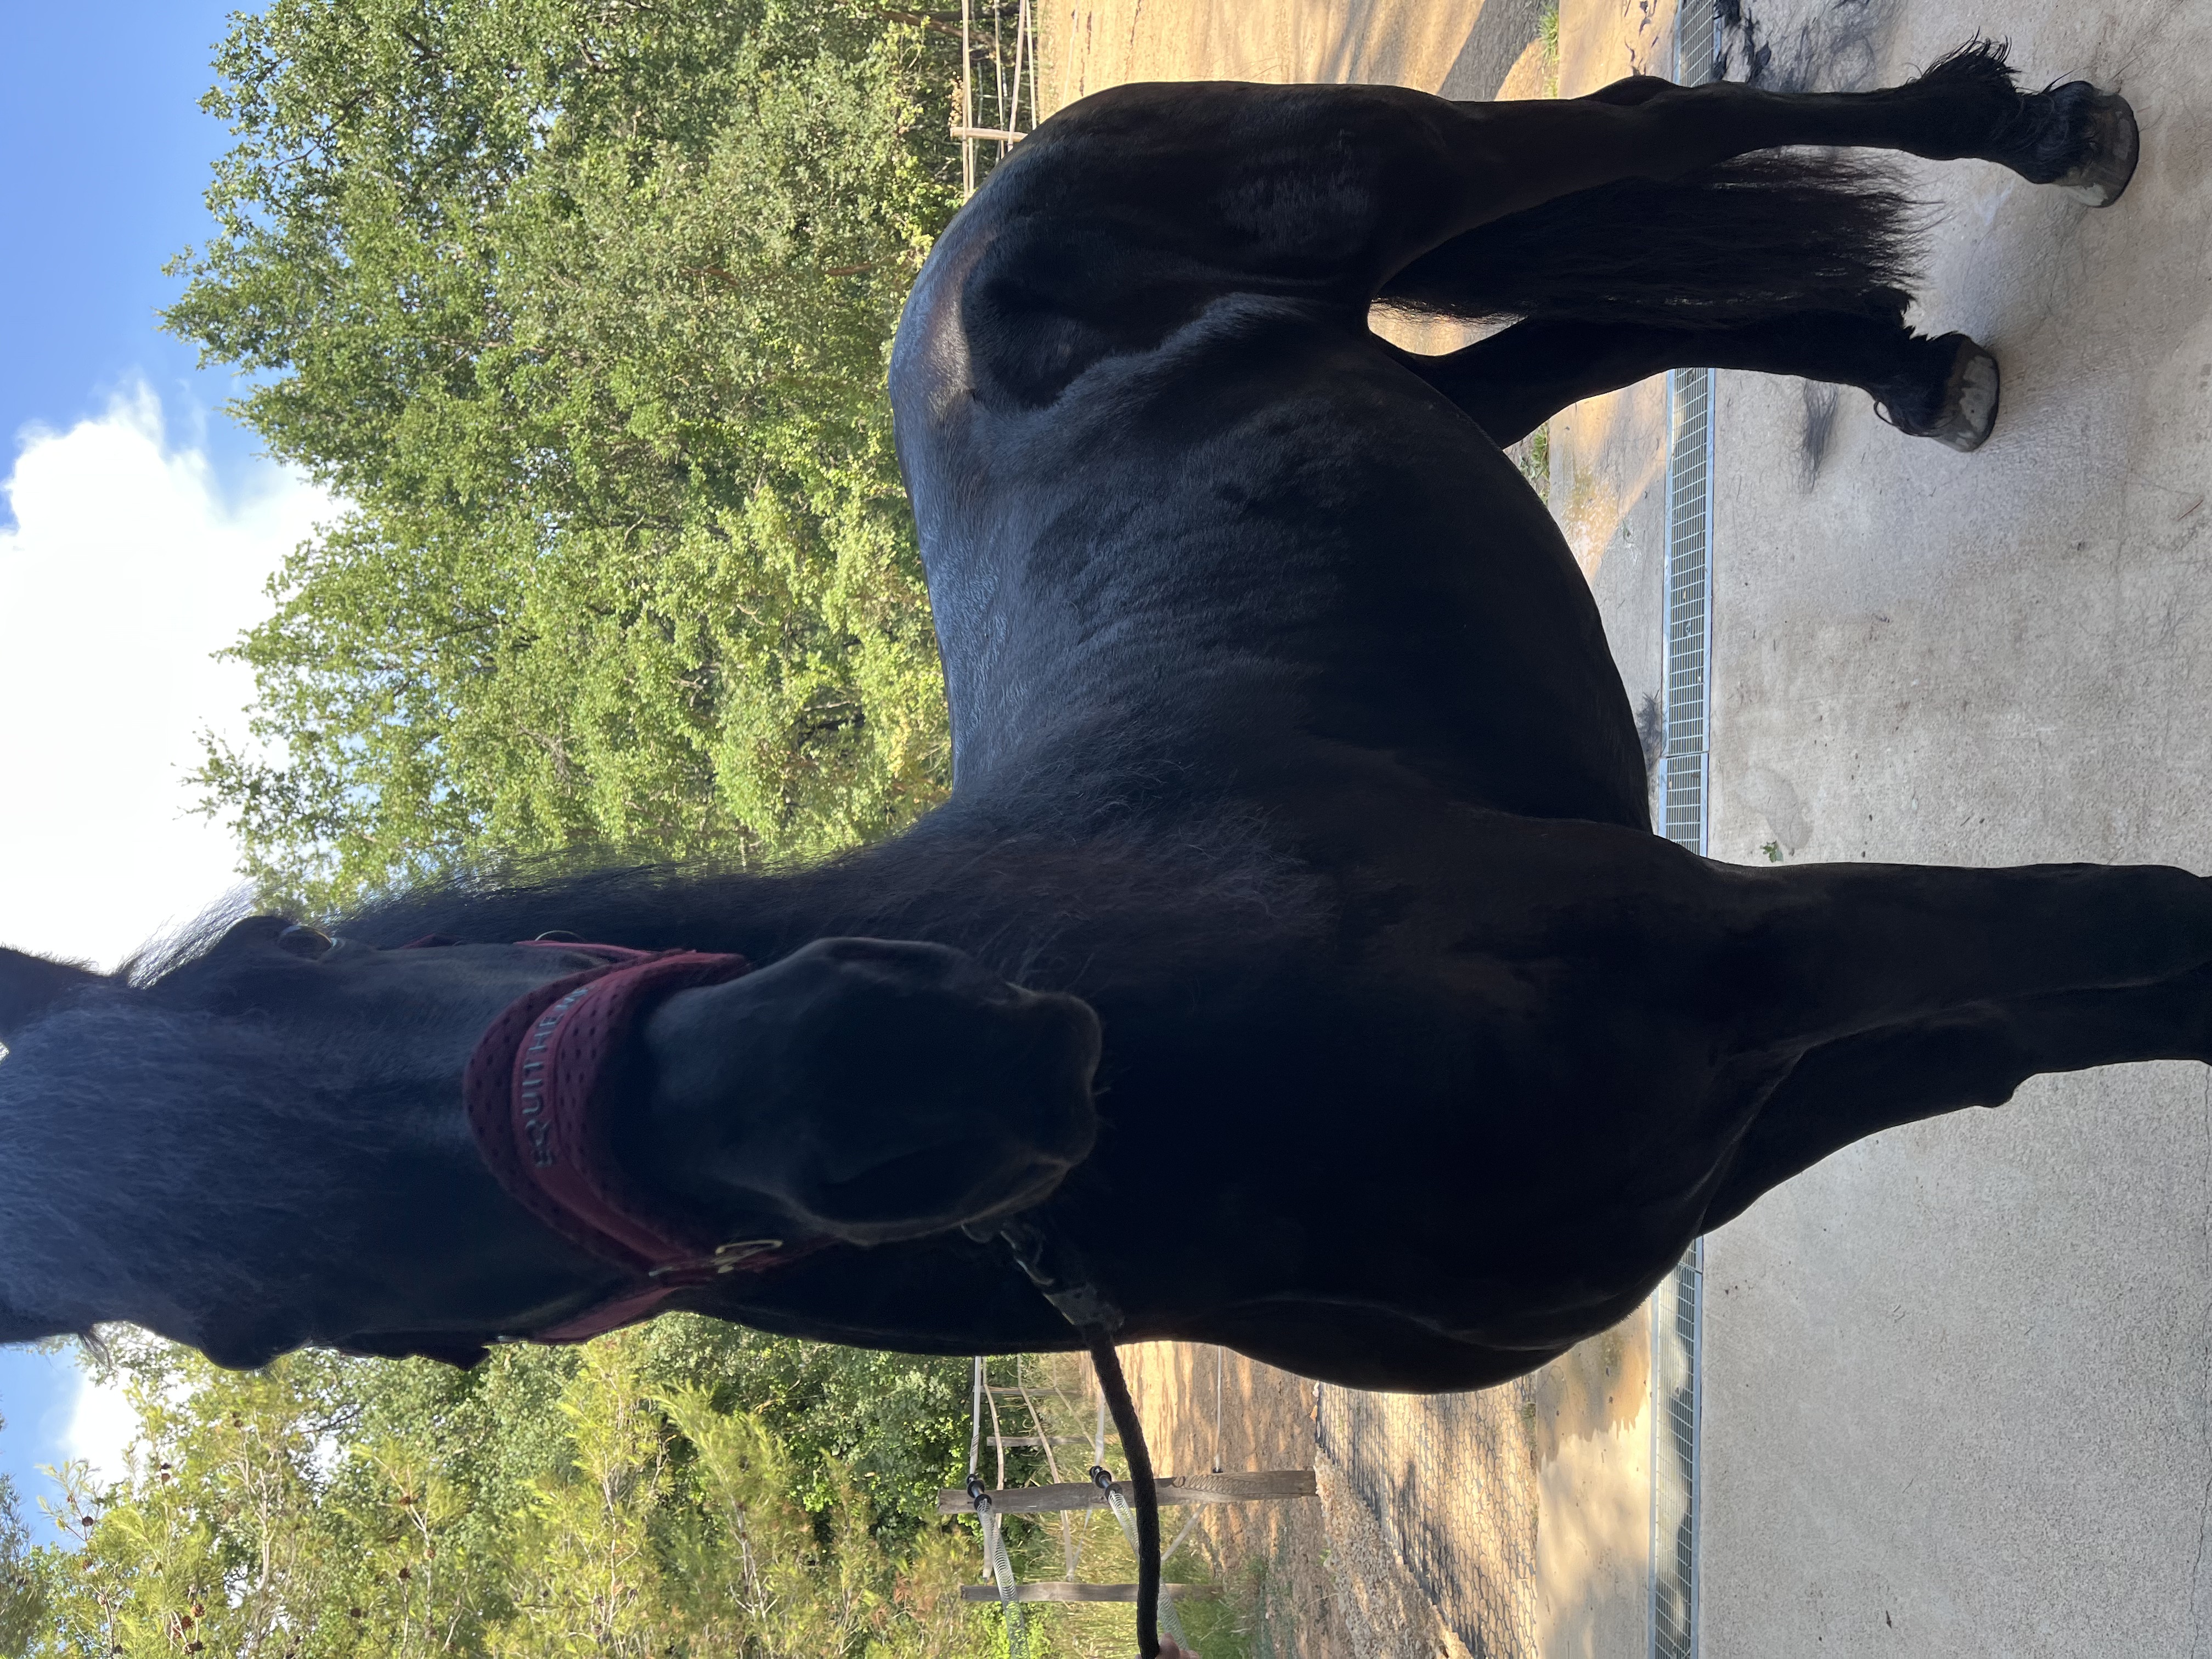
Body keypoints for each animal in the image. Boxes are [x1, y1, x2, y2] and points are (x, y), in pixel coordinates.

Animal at [0, 40, 2157, 1644]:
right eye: (261, 1330)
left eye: (287, 960)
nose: (919, 1074)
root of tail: (974, 226)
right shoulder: (1759, 1089)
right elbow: (2074, 1007)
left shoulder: (1766, 964)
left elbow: (2139, 933)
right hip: (1415, 387)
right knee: (1571, 340)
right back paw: (1910, 364)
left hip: (1388, 176)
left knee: (1642, 126)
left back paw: (2039, 138)